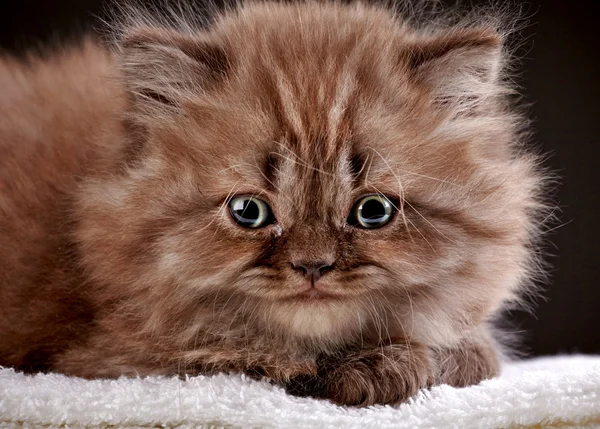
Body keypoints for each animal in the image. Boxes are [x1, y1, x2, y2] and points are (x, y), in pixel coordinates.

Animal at [0, 0, 548, 406]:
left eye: (373, 211)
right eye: (249, 212)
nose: (312, 266)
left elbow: (475, 353)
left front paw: (443, 356)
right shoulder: (111, 357)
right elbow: (246, 350)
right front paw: (387, 367)